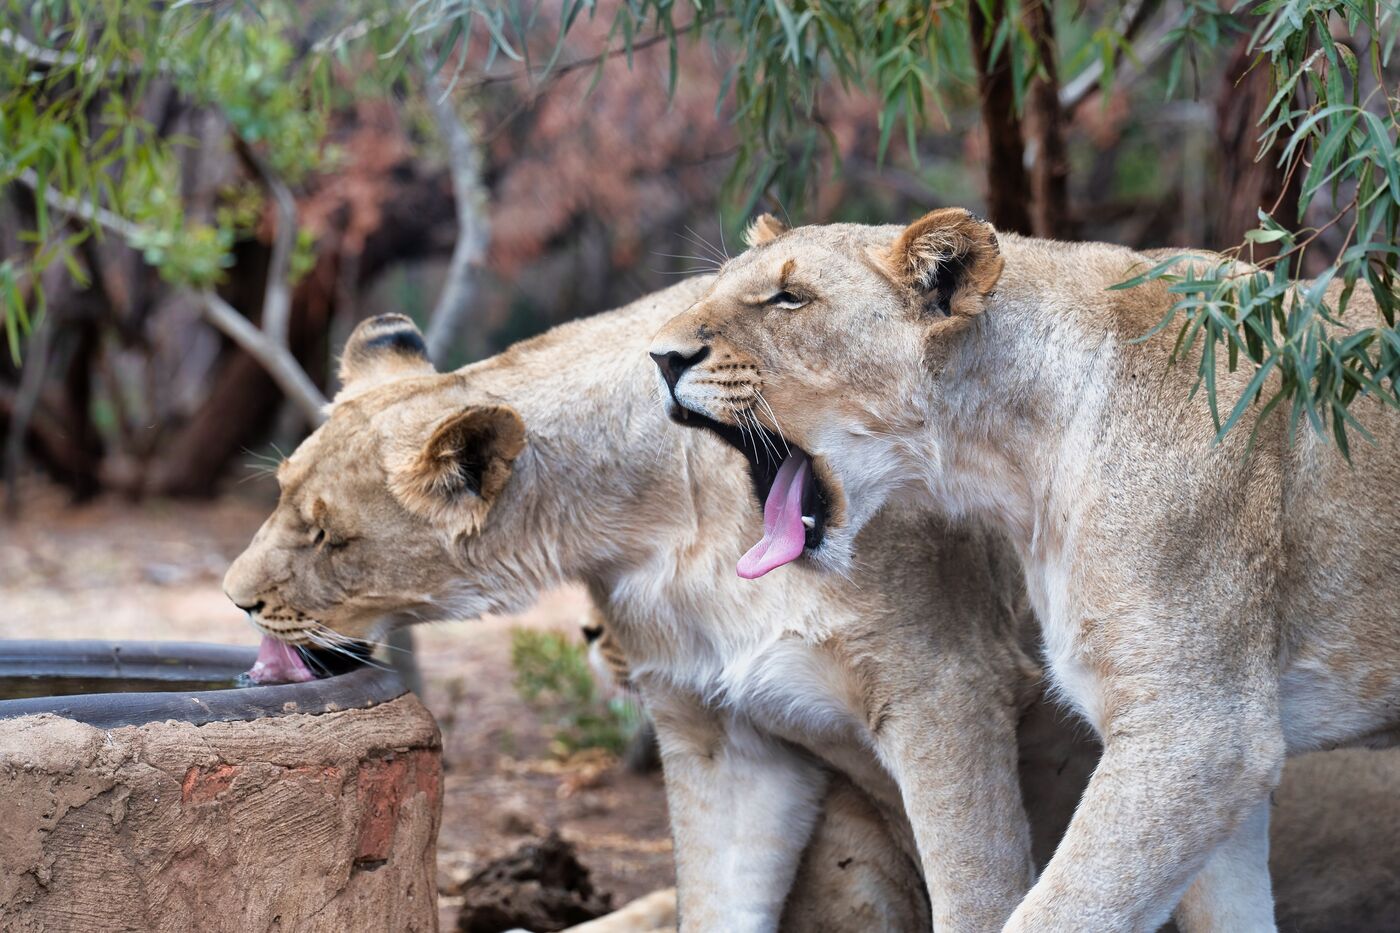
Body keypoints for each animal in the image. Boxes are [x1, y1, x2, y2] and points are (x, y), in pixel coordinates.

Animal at [647, 211, 1400, 931]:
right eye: (716, 287)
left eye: (789, 297)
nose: (659, 356)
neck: (1015, 461)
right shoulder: (1207, 751)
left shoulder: (1202, 731)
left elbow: (1059, 909)